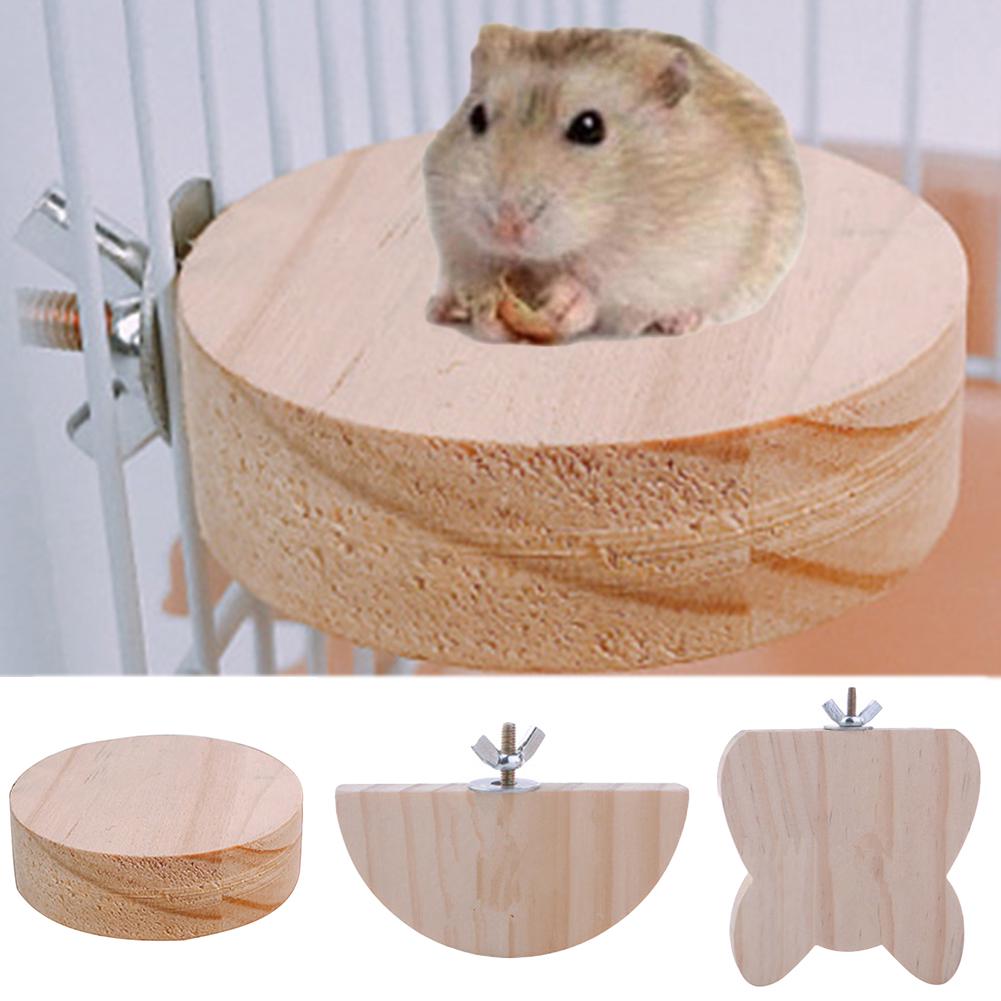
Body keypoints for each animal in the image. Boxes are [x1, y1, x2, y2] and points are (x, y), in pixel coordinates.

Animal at [423, 24, 805, 344]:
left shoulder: (664, 257)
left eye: (589, 126)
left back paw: (679, 322)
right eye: (476, 117)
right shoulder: (456, 237)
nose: (505, 227)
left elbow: (603, 286)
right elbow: (477, 272)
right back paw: (440, 307)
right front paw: (487, 310)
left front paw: (563, 302)